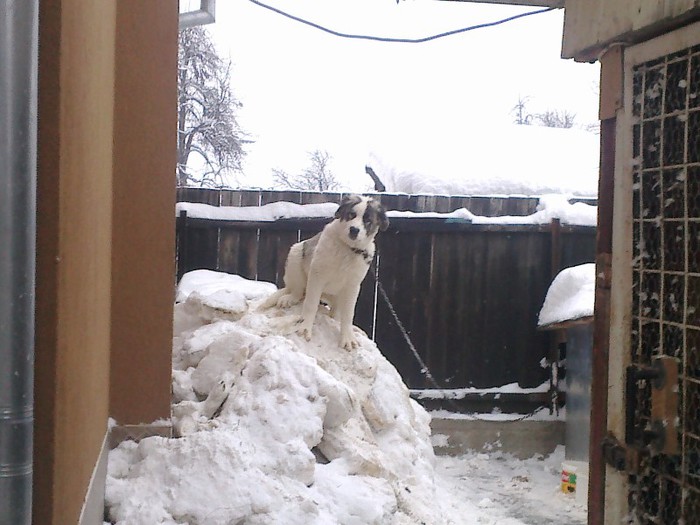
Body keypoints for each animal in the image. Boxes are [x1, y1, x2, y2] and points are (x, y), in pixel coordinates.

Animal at [260, 194, 388, 350]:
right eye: (351, 215)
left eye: (368, 220)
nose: (354, 230)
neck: (347, 249)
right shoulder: (317, 276)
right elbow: (311, 304)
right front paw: (305, 327)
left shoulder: (352, 287)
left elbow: (348, 314)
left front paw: (347, 337)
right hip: (296, 253)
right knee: (298, 290)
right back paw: (289, 298)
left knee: (335, 312)